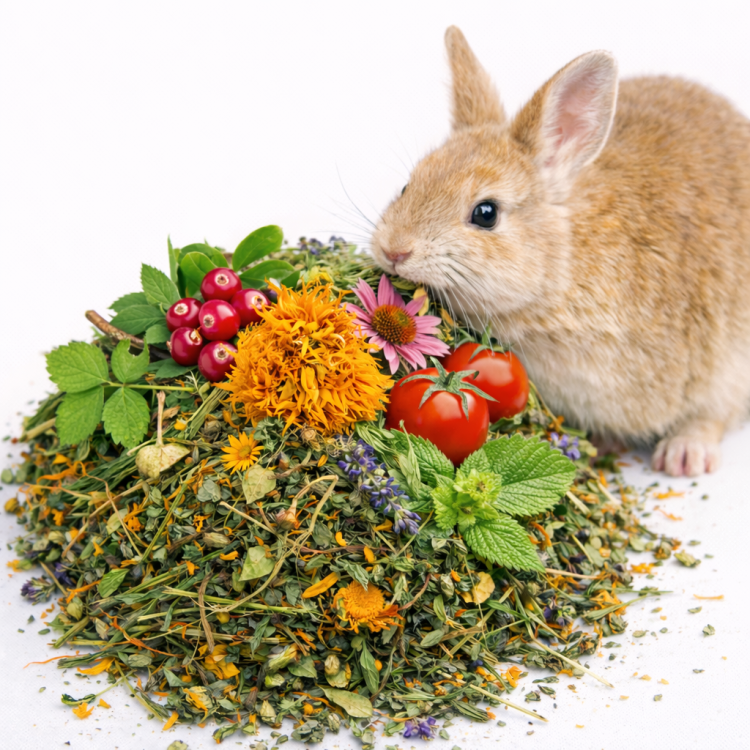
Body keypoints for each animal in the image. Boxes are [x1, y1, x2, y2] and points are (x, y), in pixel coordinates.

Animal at [369, 26, 750, 477]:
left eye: (486, 213)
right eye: (408, 185)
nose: (394, 249)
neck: (560, 270)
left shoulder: (721, 362)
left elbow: (712, 413)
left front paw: (687, 453)